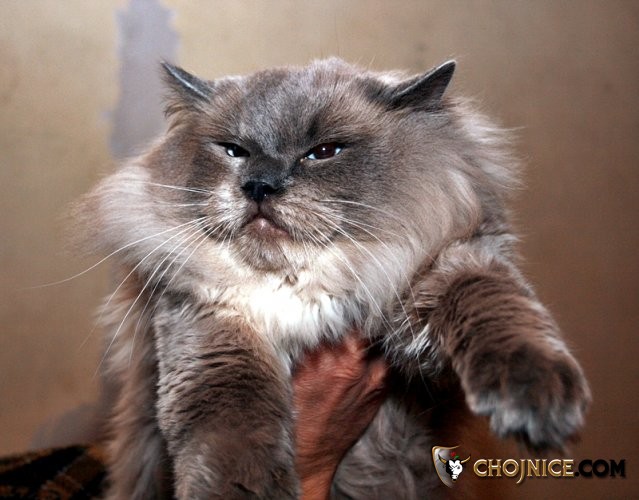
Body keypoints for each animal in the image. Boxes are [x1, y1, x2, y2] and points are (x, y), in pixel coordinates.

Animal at [75, 58, 591, 499]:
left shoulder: (447, 267)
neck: (301, 284)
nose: (259, 185)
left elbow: (494, 309)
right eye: (234, 151)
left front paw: (535, 398)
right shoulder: (211, 320)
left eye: (323, 152)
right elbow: (232, 434)